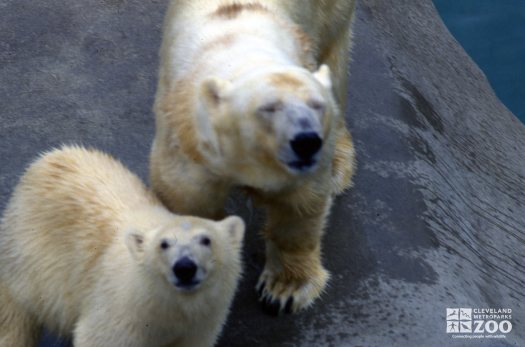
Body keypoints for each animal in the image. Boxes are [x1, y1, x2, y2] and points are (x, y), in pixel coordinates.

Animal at [0, 147, 246, 347]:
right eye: (164, 244)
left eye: (206, 240)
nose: (184, 267)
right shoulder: (121, 311)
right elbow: (99, 337)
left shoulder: (198, 327)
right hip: (28, 259)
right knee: (14, 319)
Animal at [150, 0, 356, 316]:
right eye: (268, 108)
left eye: (317, 105)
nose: (307, 142)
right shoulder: (188, 141)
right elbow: (189, 199)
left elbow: (299, 208)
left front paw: (285, 289)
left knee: (336, 61)